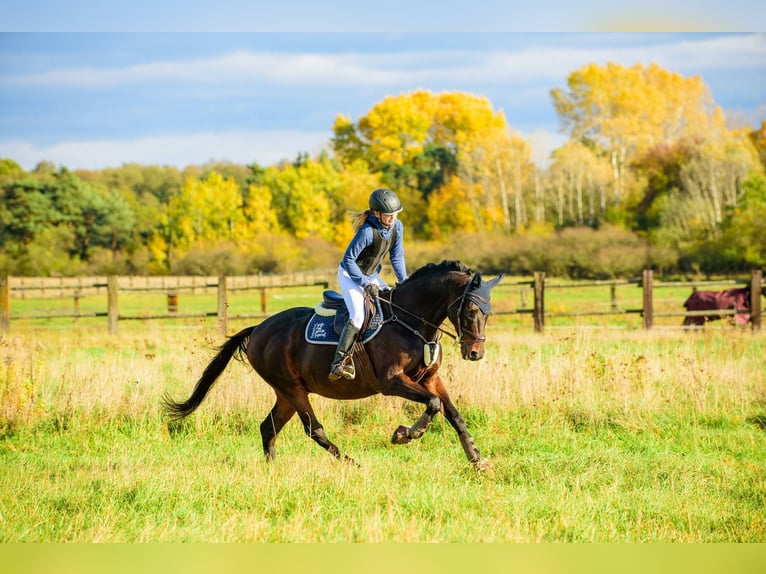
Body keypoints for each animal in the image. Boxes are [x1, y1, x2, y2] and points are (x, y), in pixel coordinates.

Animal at [162, 260, 504, 470]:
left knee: (269, 427)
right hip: (292, 389)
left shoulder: (430, 378)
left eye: (487, 313)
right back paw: (353, 464)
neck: (410, 322)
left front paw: (478, 460)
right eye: (470, 311)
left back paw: (273, 470)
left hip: (286, 393)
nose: (475, 353)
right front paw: (404, 434)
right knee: (314, 429)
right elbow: (433, 405)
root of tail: (258, 328)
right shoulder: (392, 382)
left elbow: (452, 413)